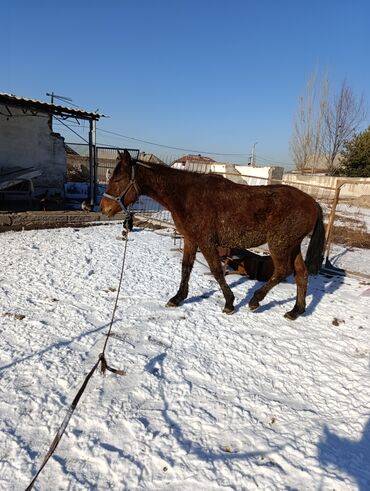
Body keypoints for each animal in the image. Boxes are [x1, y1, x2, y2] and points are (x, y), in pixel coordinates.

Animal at [100, 149, 324, 320]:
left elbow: (216, 270)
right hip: (292, 246)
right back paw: (296, 311)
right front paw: (178, 298)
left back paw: (255, 301)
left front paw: (229, 303)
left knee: (282, 271)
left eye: (118, 179)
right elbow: (186, 268)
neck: (186, 196)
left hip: (279, 245)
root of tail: (312, 202)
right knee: (301, 274)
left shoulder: (206, 242)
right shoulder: (191, 239)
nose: (104, 208)